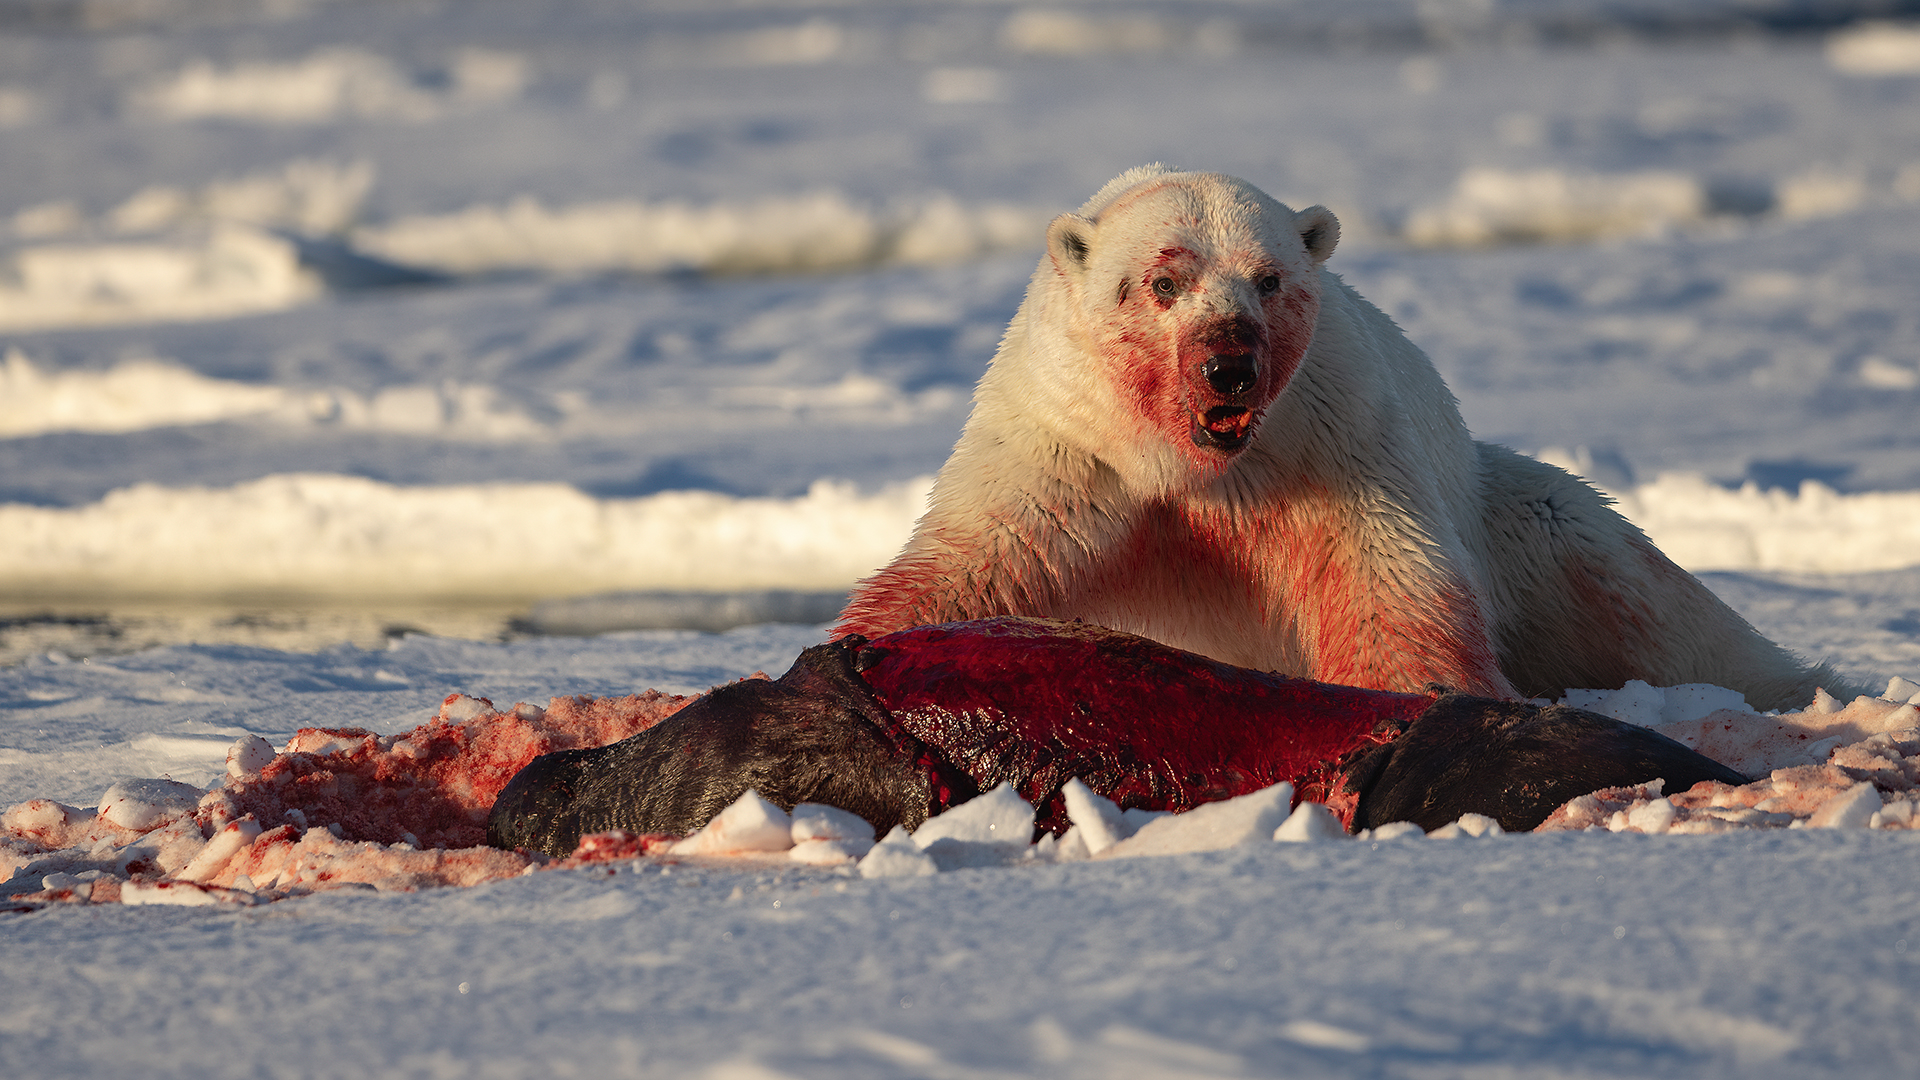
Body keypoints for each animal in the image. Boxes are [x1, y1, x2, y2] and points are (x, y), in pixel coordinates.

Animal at [836, 164, 1847, 711]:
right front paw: (843, 655)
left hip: (1528, 529)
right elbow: (976, 558)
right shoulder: (1068, 453)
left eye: (1269, 277)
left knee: (1645, 597)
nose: (1229, 366)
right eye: (1163, 281)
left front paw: (1419, 701)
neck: (1196, 463)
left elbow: (1384, 574)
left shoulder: (1331, 443)